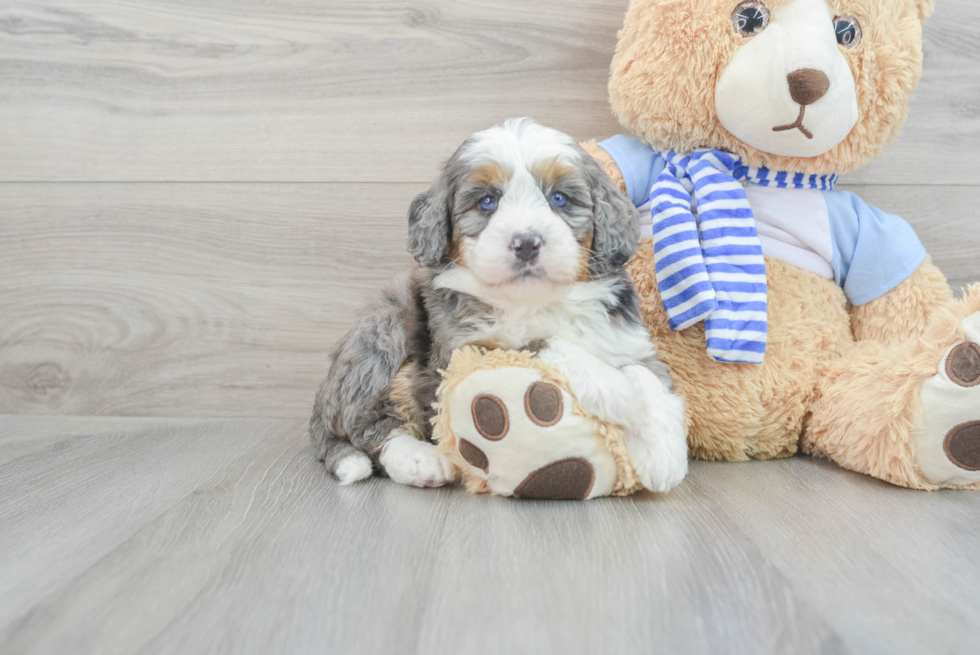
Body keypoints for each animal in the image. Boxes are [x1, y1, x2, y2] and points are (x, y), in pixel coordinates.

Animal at [308, 120, 688, 494]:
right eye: (487, 201)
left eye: (559, 198)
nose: (526, 243)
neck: (538, 299)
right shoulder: (463, 350)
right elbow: (537, 342)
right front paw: (615, 390)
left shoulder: (627, 338)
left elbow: (647, 375)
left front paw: (663, 454)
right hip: (381, 333)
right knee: (369, 426)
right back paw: (420, 460)